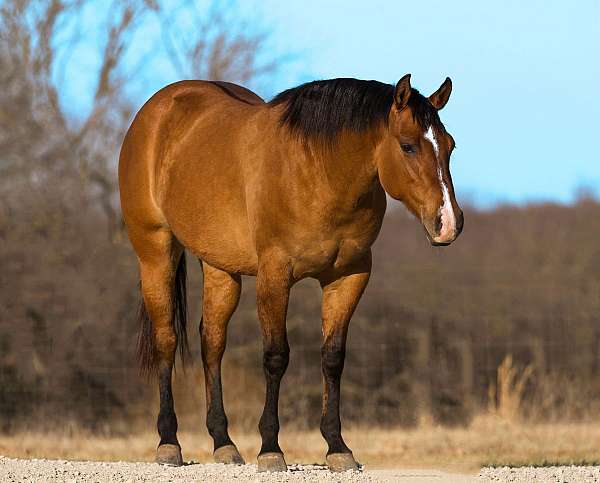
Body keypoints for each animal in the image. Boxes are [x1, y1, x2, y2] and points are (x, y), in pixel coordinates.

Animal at [118, 73, 464, 470]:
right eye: (408, 146)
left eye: (450, 146)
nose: (448, 223)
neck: (319, 171)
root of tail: (156, 109)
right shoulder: (275, 275)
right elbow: (276, 357)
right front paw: (270, 448)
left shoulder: (349, 276)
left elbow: (332, 357)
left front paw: (337, 446)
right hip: (156, 252)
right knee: (167, 339)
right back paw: (168, 443)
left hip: (221, 267)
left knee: (212, 342)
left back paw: (224, 443)